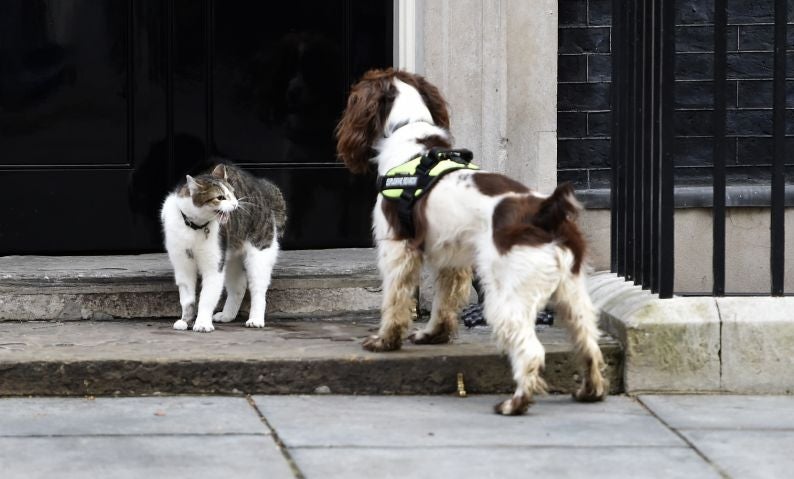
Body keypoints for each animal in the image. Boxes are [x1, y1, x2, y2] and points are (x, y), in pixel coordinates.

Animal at [159, 163, 286, 332]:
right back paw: (227, 316)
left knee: (258, 290)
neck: (195, 226)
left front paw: (202, 323)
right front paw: (185, 321)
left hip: (259, 255)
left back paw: (256, 319)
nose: (235, 205)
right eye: (220, 197)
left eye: (232, 193)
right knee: (238, 288)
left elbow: (207, 298)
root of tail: (261, 187)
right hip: (232, 259)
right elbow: (187, 299)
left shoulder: (214, 267)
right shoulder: (182, 265)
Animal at [336, 68, 608, 416]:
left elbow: (395, 300)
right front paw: (433, 335)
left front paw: (384, 342)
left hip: (506, 296)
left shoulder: (397, 248)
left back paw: (515, 403)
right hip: (572, 294)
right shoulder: (452, 259)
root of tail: (546, 212)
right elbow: (444, 302)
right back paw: (590, 390)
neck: (411, 133)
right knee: (589, 343)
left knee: (532, 351)